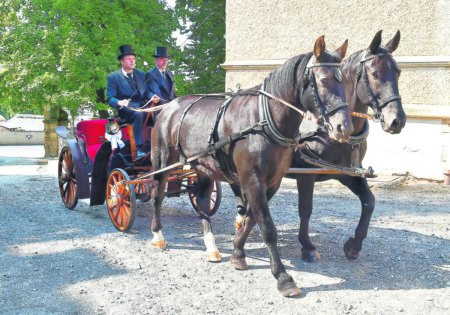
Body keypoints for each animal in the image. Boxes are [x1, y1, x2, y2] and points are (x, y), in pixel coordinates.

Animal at [151, 35, 356, 298]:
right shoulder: (252, 178)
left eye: (345, 80)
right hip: (164, 161)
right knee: (157, 195)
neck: (264, 122)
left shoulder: (272, 181)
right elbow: (266, 225)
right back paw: (157, 235)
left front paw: (238, 253)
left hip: (203, 166)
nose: (344, 127)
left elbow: (251, 218)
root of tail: (168, 107)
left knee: (203, 200)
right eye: (323, 79)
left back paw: (211, 246)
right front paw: (283, 277)